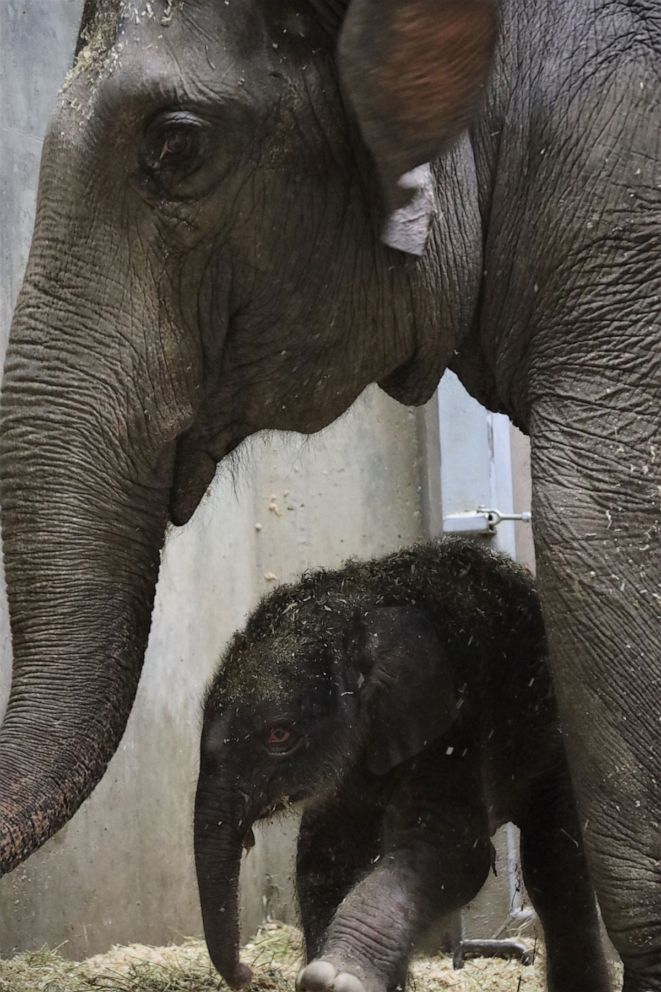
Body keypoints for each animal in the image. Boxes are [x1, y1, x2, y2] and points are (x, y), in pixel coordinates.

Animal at [195, 540, 608, 992]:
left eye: (278, 736)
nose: (246, 972)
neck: (361, 606)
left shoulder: (455, 724)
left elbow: (453, 853)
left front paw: (334, 976)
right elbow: (325, 858)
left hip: (554, 743)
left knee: (554, 868)